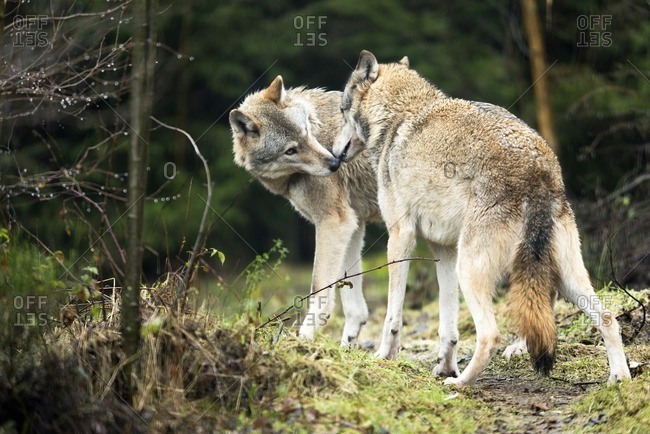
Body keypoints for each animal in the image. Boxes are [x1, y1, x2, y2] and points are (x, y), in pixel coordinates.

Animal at [229, 76, 381, 345]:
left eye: (306, 132)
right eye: (290, 150)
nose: (335, 162)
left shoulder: (334, 222)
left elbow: (319, 288)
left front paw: (305, 337)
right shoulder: (353, 226)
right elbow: (355, 306)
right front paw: (346, 345)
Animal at [332, 50, 631, 386]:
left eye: (342, 110)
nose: (332, 154)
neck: (399, 115)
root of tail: (539, 168)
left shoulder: (401, 237)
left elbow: (392, 316)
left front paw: (385, 357)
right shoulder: (443, 250)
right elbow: (447, 325)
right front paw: (444, 365)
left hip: (472, 269)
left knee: (490, 335)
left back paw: (460, 384)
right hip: (562, 276)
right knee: (607, 317)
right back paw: (619, 379)